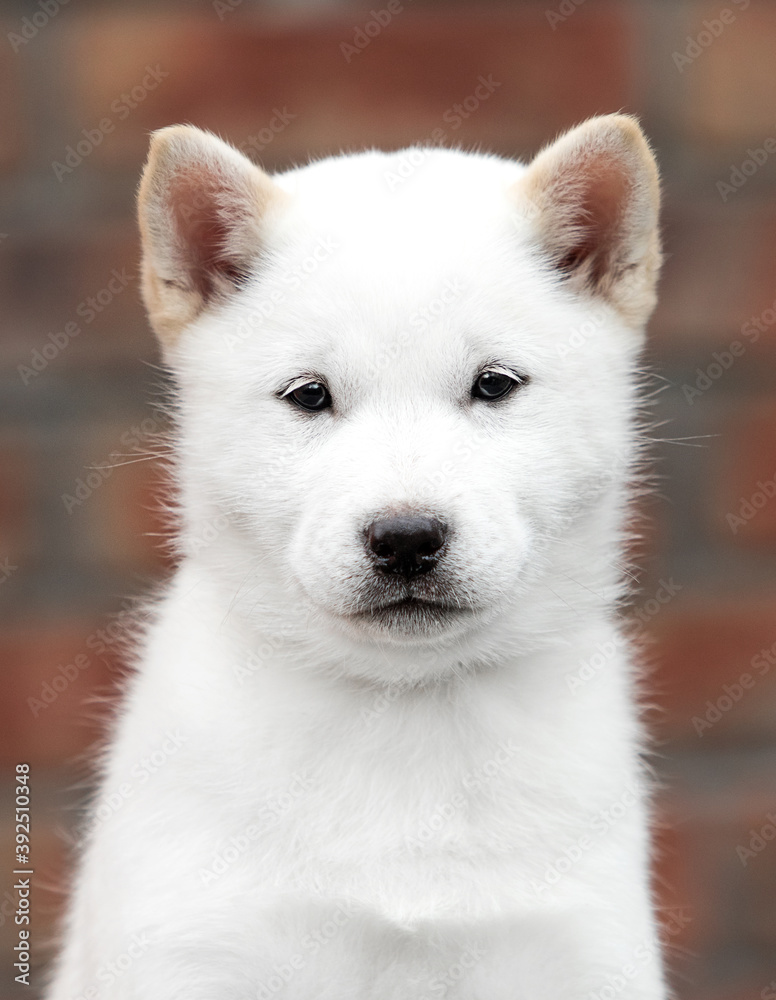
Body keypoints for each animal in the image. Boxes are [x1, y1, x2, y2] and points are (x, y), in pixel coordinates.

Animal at [47, 113, 668, 996]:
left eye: (495, 384)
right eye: (309, 395)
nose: (406, 538)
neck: (400, 713)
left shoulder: (577, 956)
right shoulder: (192, 954)